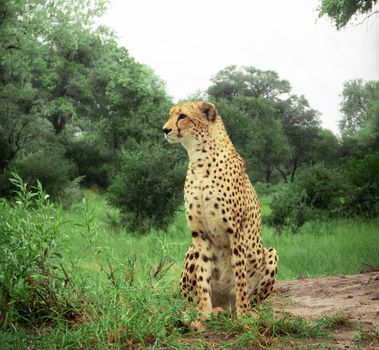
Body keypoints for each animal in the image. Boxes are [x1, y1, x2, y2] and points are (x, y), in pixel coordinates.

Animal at [162, 101, 278, 328]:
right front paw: (203, 316)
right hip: (191, 250)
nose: (165, 129)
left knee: (250, 298)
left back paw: (244, 311)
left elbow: (240, 276)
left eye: (182, 116)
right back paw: (208, 312)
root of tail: (225, 304)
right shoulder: (199, 234)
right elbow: (202, 278)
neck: (199, 159)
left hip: (270, 253)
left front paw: (243, 316)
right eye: (170, 115)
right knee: (190, 301)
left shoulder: (235, 232)